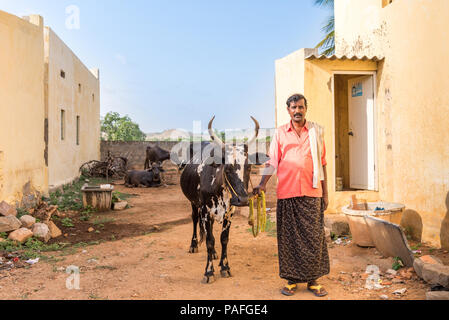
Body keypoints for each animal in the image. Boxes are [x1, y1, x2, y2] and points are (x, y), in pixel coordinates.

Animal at [180, 116, 268, 284]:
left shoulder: (229, 212)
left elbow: (223, 239)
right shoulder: (205, 212)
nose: (242, 200)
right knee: (194, 220)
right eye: (227, 168)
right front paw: (209, 272)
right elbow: (209, 240)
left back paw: (215, 254)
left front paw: (225, 267)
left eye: (249, 167)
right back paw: (193, 245)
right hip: (194, 204)